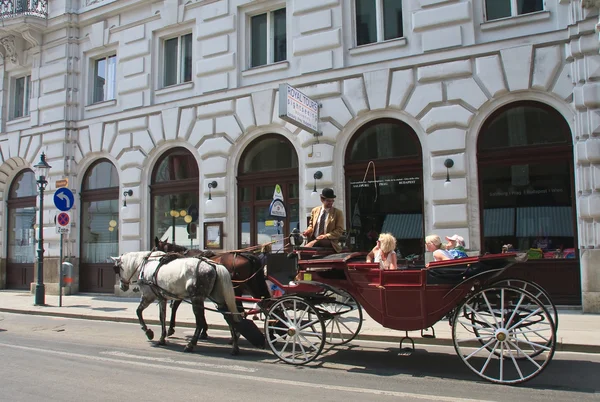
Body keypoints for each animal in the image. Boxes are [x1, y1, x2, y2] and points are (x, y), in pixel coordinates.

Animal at [111, 251, 243, 354]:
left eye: (118, 269)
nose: (122, 286)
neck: (146, 265)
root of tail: (213, 265)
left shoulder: (148, 296)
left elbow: (138, 312)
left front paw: (149, 332)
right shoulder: (162, 298)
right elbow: (162, 317)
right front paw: (162, 338)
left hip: (197, 298)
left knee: (199, 322)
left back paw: (191, 344)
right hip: (217, 298)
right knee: (228, 318)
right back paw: (234, 346)